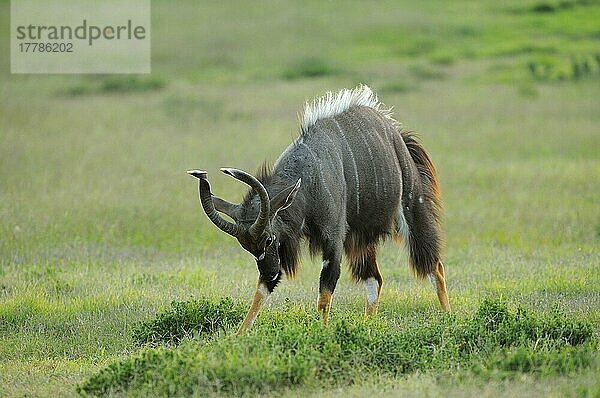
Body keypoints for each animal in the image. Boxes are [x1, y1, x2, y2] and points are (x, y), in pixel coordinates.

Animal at [188, 84, 450, 336]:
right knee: (374, 279)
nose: (270, 273)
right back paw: (368, 325)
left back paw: (448, 319)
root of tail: (399, 136)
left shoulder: (332, 240)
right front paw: (238, 336)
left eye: (269, 239)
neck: (309, 177)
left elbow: (324, 294)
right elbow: (260, 293)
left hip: (412, 211)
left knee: (434, 267)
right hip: (359, 240)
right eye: (246, 247)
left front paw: (321, 333)